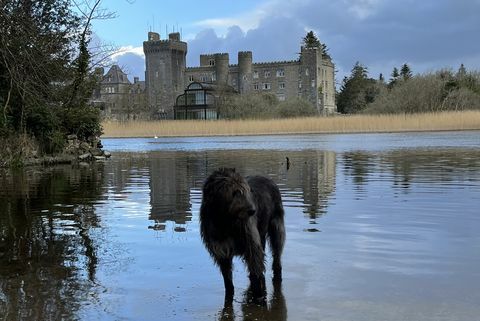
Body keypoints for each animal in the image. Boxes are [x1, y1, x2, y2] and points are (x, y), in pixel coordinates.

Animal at [200, 168, 284, 300]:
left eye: (246, 191)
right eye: (235, 192)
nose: (252, 211)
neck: (225, 222)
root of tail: (267, 178)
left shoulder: (251, 242)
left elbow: (256, 268)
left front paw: (258, 297)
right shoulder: (222, 250)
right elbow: (227, 279)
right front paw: (230, 294)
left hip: (276, 225)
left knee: (277, 252)